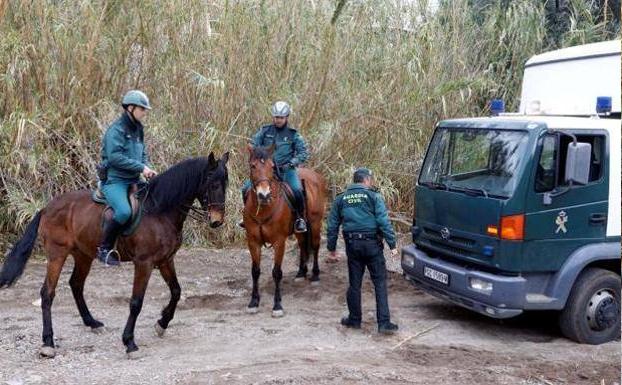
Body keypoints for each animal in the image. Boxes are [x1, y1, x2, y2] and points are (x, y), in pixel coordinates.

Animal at [0, 152, 229, 356]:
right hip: (57, 253)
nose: (217, 221)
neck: (160, 211)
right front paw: (129, 342)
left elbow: (176, 291)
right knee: (47, 293)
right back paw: (48, 342)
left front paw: (162, 323)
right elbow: (136, 302)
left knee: (76, 284)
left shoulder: (166, 260)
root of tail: (47, 208)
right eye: (213, 184)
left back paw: (92, 323)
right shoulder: (144, 263)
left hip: (83, 255)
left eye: (225, 184)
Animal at [244, 144, 330, 316]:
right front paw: (253, 302)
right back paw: (301, 273)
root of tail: (315, 175)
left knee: (315, 246)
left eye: (272, 166)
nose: (264, 195)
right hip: (299, 231)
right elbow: (255, 271)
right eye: (253, 166)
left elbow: (277, 272)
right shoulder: (253, 242)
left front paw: (277, 305)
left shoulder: (279, 242)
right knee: (303, 245)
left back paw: (315, 275)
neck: (264, 209)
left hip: (316, 223)